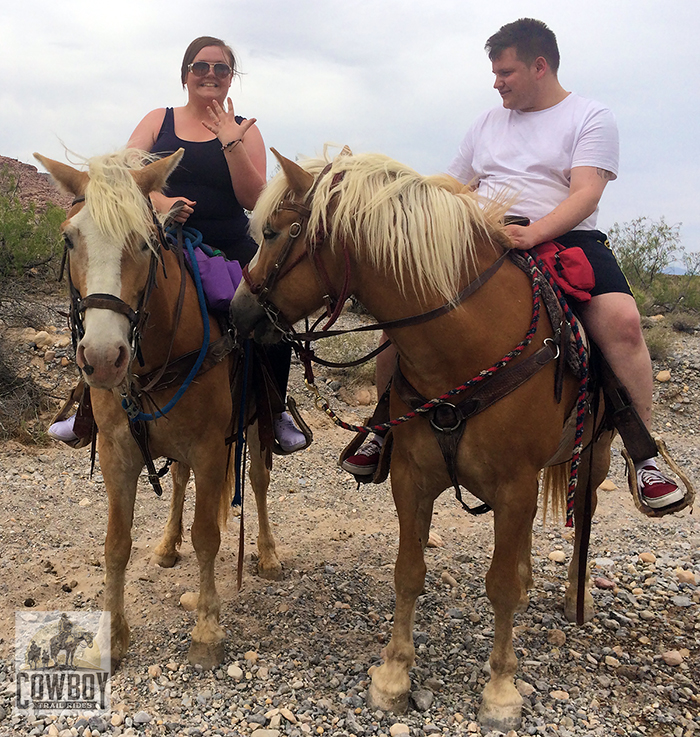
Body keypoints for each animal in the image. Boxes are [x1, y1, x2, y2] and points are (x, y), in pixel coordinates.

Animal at [35, 148, 282, 668]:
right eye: (69, 238)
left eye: (146, 243)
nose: (103, 357)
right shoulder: (118, 455)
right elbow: (115, 544)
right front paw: (109, 640)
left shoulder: (211, 450)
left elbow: (207, 536)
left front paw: (206, 631)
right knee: (180, 481)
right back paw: (168, 544)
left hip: (254, 427)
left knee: (258, 481)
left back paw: (269, 554)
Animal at [231, 148, 612, 732]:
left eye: (272, 233)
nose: (234, 312)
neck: (466, 343)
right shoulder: (413, 480)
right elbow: (408, 573)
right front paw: (393, 676)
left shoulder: (516, 485)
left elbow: (500, 587)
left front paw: (501, 691)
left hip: (594, 459)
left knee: (583, 518)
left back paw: (578, 595)